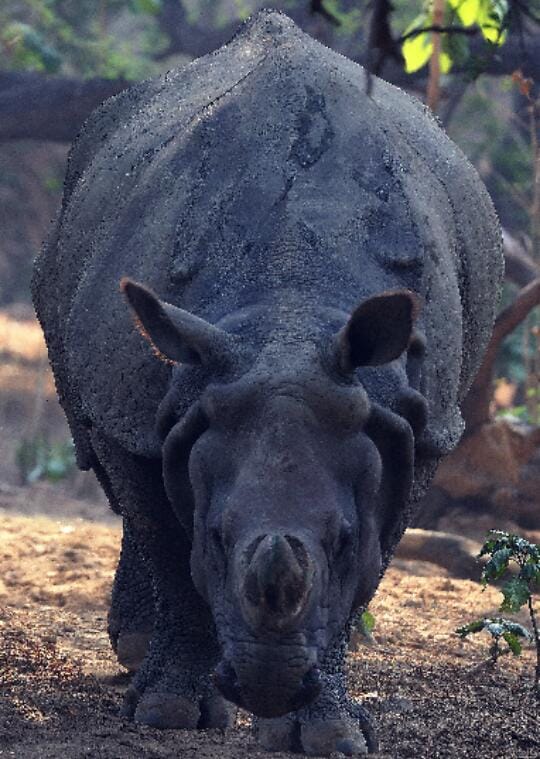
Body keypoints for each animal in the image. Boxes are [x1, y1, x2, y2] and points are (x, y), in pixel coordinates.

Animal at [32, 9, 503, 756]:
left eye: (340, 539)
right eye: (218, 536)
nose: (266, 685)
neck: (286, 316)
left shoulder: (416, 420)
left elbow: (370, 565)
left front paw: (330, 733)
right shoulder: (134, 402)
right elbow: (169, 542)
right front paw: (167, 711)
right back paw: (136, 655)